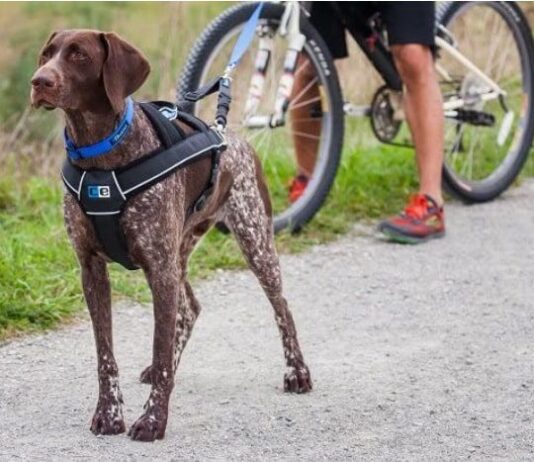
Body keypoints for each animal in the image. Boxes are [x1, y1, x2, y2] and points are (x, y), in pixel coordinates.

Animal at [29, 30, 312, 442]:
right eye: (47, 54)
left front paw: (152, 420)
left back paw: (297, 372)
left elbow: (160, 350)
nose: (39, 82)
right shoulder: (91, 268)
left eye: (80, 56)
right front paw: (109, 413)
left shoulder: (158, 268)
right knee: (190, 308)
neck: (100, 155)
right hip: (180, 253)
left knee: (282, 307)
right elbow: (105, 355)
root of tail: (234, 136)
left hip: (254, 240)